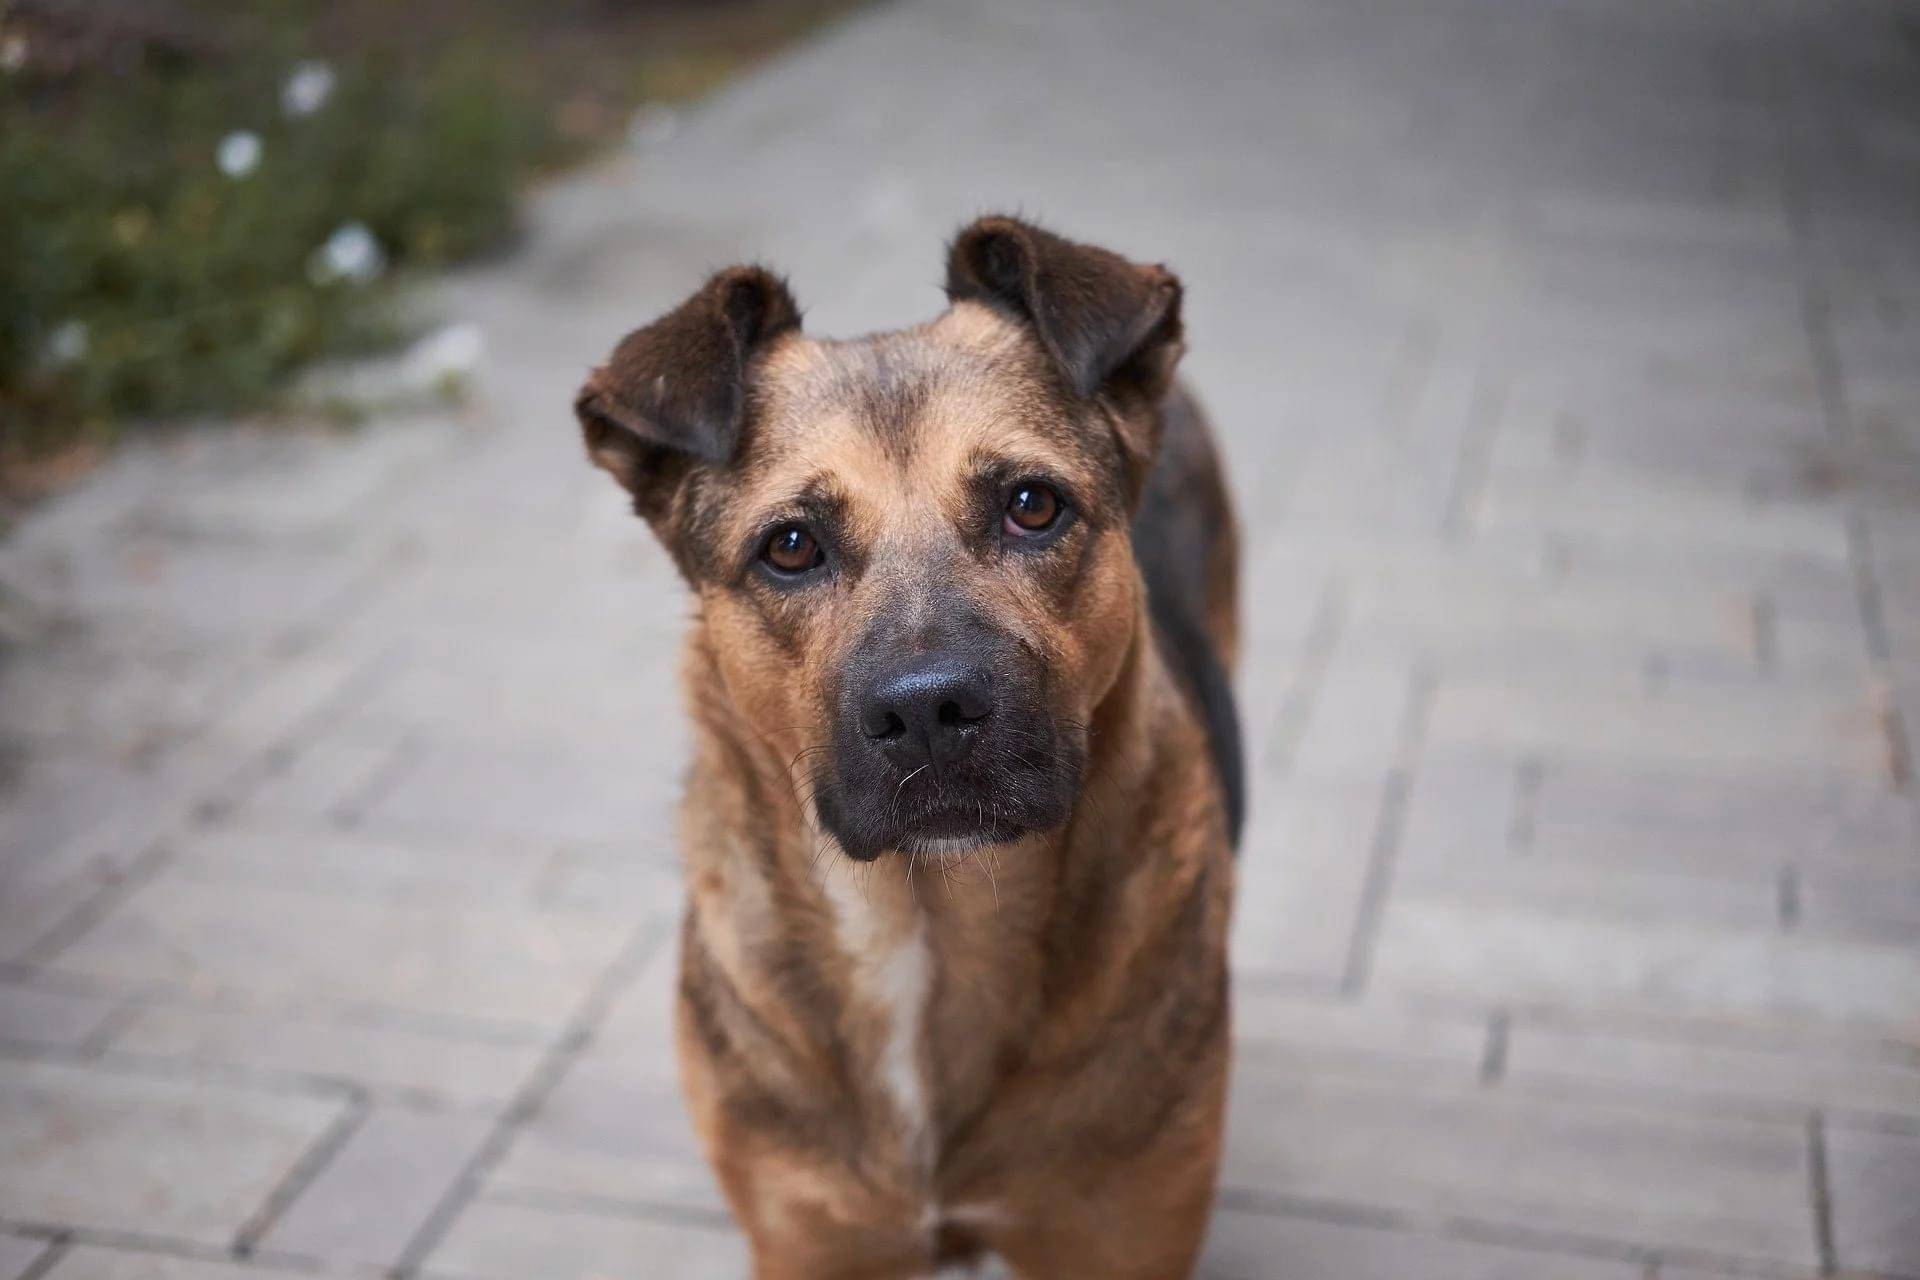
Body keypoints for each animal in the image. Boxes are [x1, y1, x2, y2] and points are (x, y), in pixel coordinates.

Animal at [568, 214, 1244, 1274]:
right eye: (790, 546)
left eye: (1033, 505)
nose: (929, 711)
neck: (928, 925)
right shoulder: (811, 1239)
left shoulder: (1121, 1237)